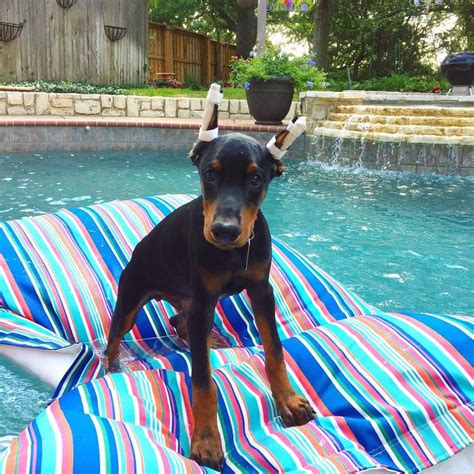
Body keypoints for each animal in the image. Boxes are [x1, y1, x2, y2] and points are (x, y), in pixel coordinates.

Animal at [105, 113, 312, 468]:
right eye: (209, 174)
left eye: (256, 178)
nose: (224, 231)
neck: (233, 253)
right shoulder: (204, 299)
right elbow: (203, 379)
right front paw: (206, 440)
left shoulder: (261, 290)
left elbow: (274, 350)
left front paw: (287, 400)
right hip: (135, 298)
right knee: (115, 337)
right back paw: (111, 365)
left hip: (192, 301)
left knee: (179, 321)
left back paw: (207, 339)